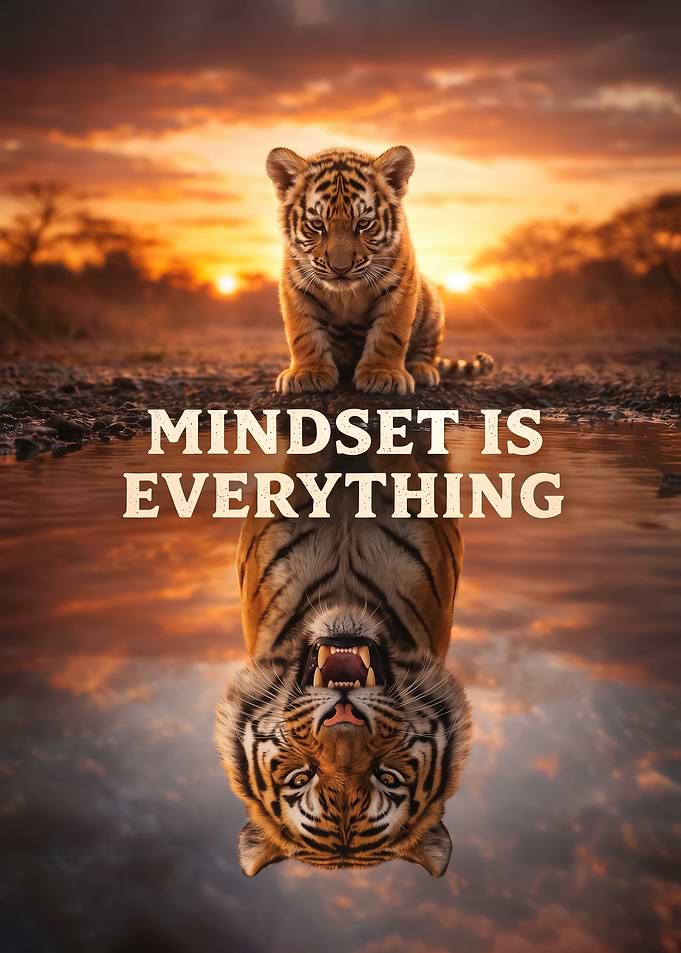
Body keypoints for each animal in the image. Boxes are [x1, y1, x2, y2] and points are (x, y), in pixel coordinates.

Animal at [266, 144, 493, 396]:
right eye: (317, 225)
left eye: (363, 224)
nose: (340, 268)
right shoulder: (296, 287)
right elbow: (304, 333)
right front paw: (308, 373)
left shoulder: (401, 285)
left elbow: (390, 333)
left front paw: (383, 375)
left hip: (433, 305)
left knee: (427, 352)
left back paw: (422, 370)